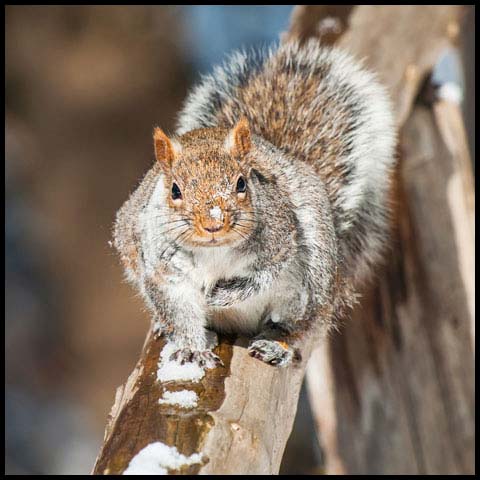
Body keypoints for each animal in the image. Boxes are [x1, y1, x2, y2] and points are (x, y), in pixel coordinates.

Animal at [113, 39, 398, 368]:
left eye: (241, 183)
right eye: (174, 190)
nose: (213, 224)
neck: (215, 252)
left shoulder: (279, 238)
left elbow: (264, 274)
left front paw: (223, 295)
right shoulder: (164, 271)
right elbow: (179, 313)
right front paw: (192, 349)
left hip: (316, 275)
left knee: (303, 325)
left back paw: (278, 345)